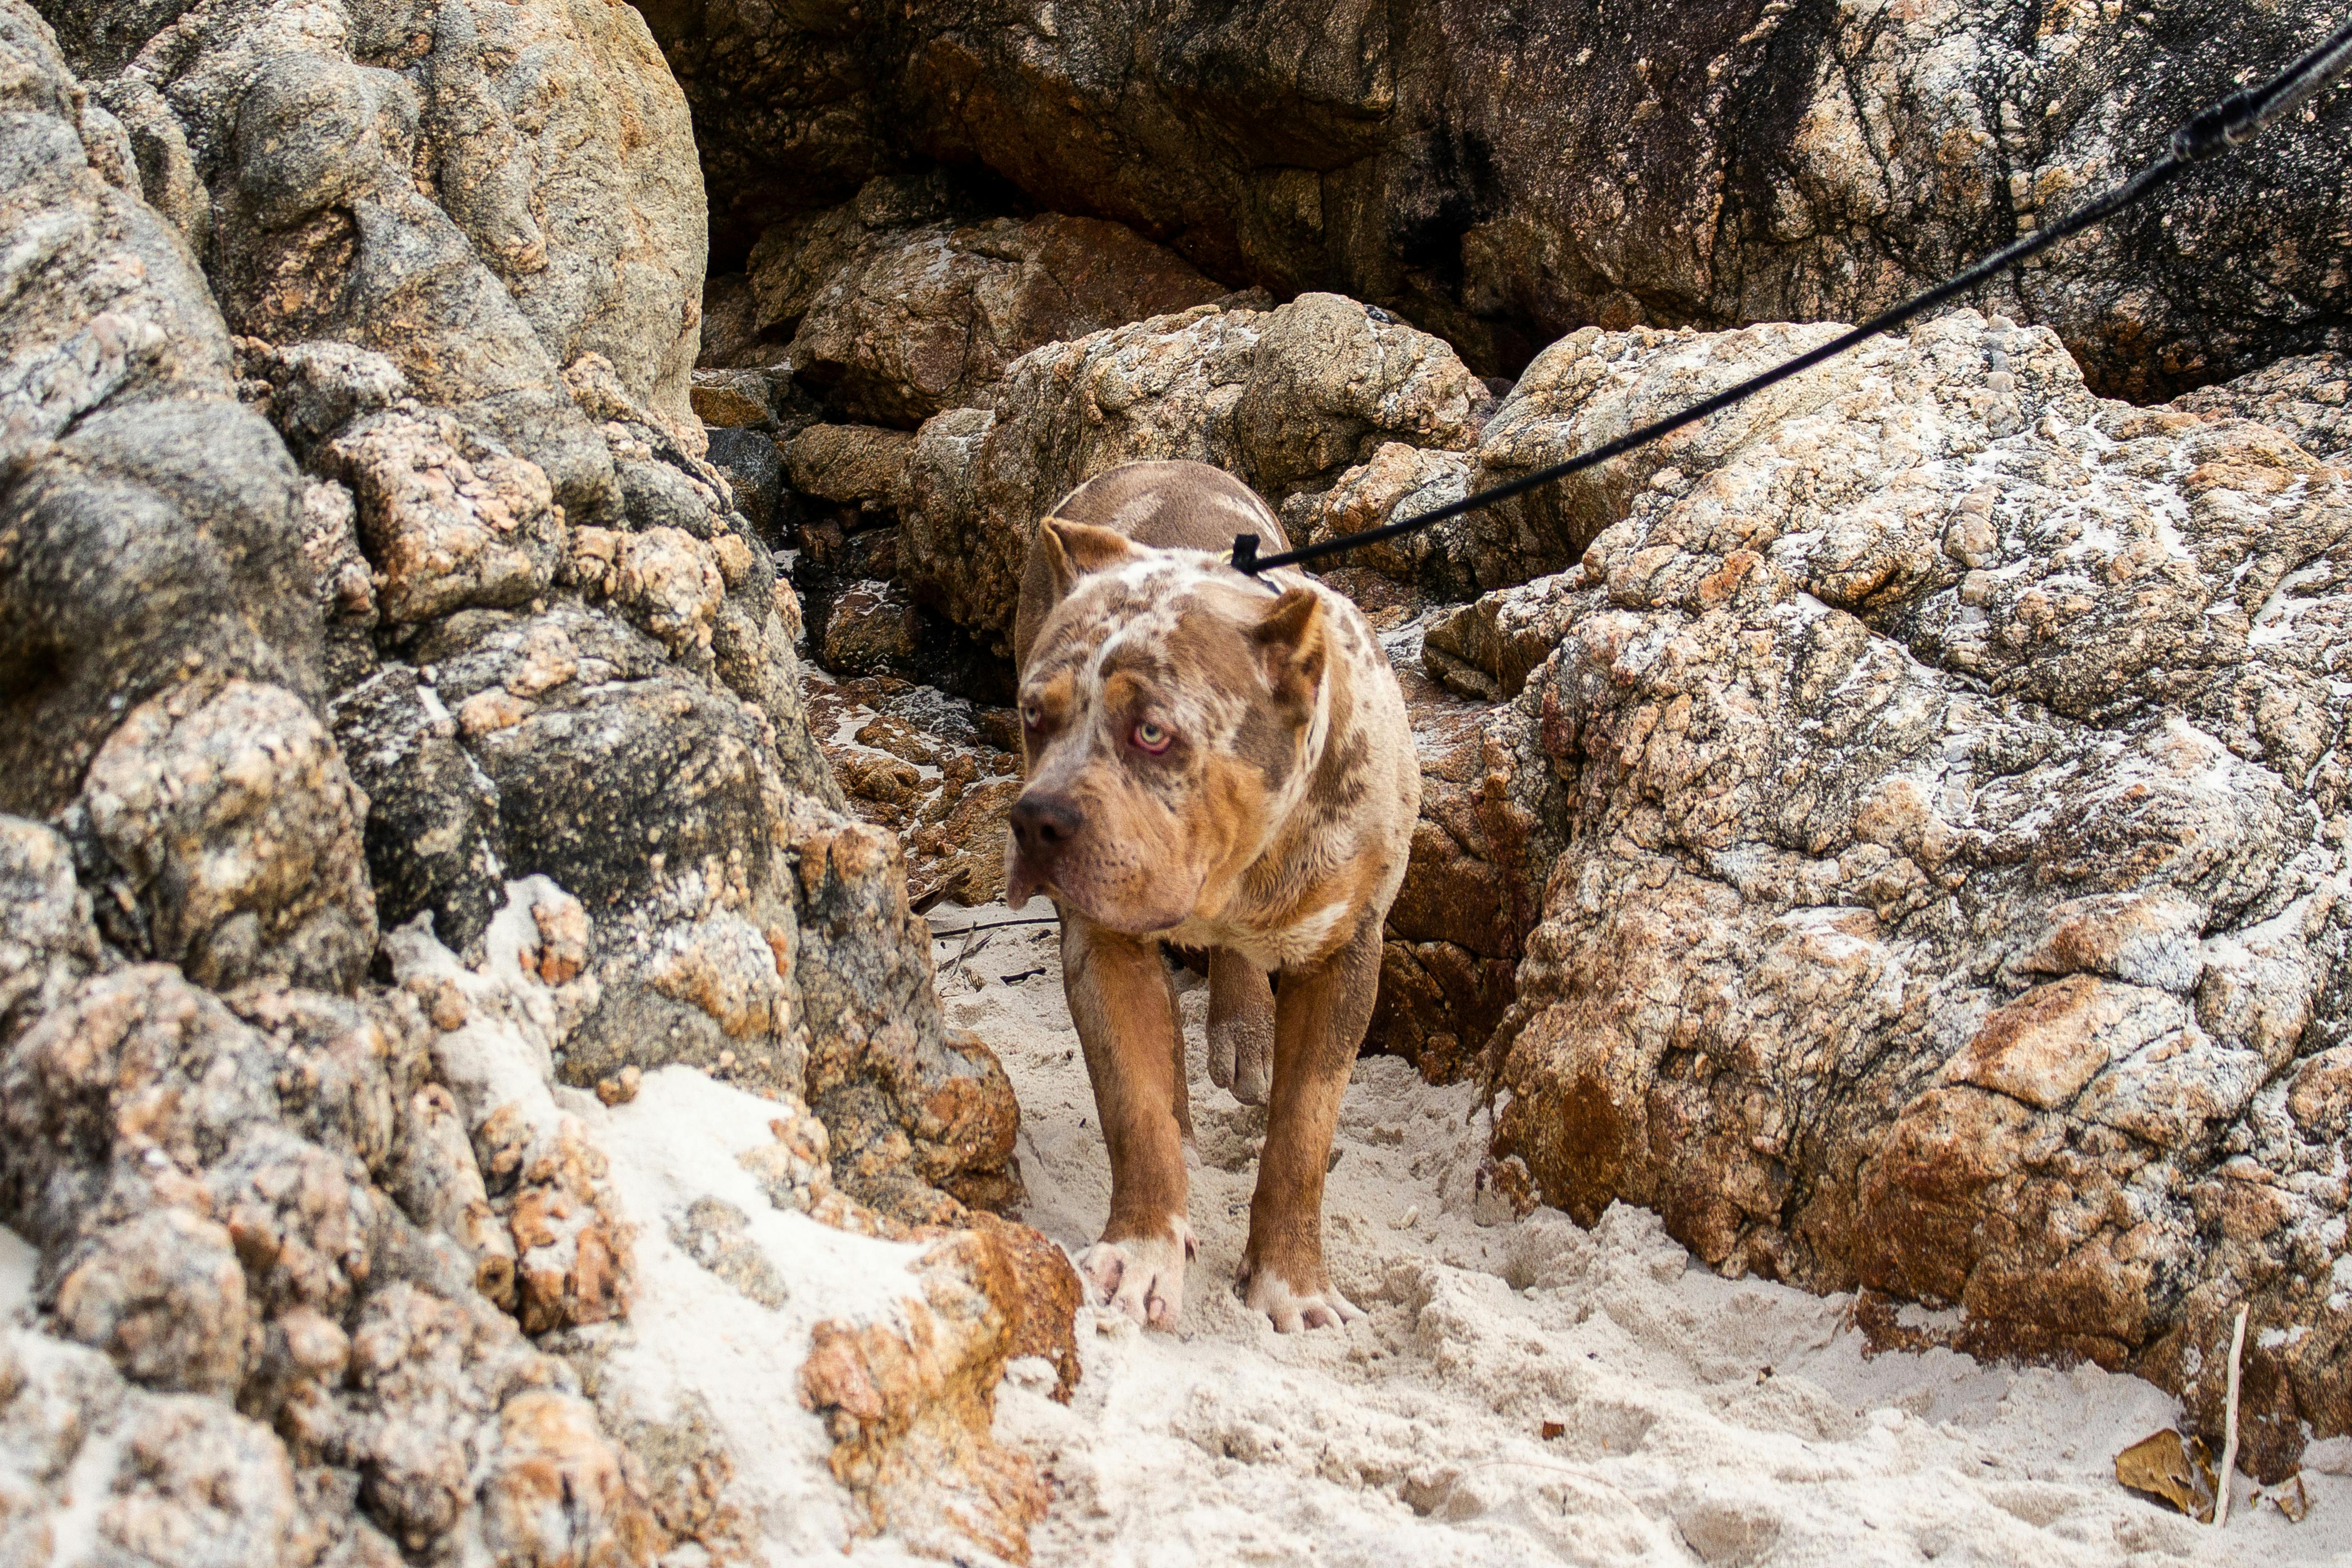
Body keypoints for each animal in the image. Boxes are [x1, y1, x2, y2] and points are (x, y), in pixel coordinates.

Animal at [1006, 461, 1411, 1335]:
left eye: (1153, 733)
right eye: (1033, 715)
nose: (1036, 818)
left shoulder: (1347, 959)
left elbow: (1301, 1134)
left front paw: (1292, 1286)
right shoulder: (1103, 942)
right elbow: (1136, 1107)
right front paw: (1141, 1251)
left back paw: (1243, 1029)